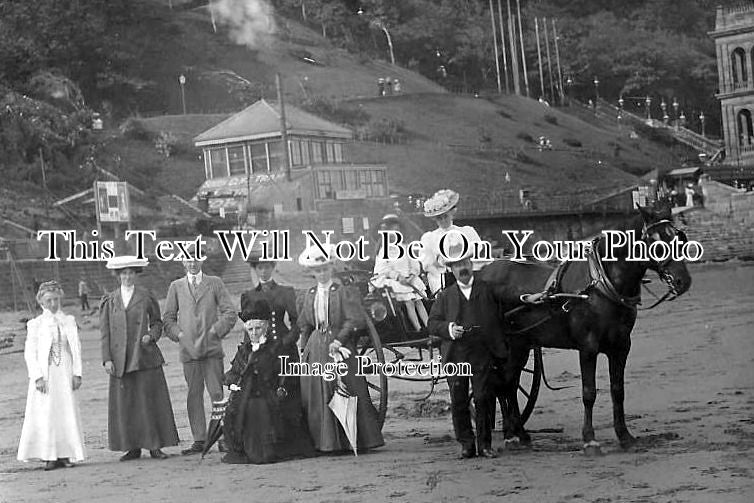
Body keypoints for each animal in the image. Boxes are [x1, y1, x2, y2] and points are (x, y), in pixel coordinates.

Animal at [482, 205, 688, 456]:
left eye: (679, 237)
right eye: (657, 242)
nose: (683, 280)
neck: (600, 286)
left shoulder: (621, 347)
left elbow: (618, 391)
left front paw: (624, 436)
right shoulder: (588, 347)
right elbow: (589, 392)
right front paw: (590, 440)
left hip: (520, 345)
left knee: (508, 384)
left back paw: (518, 434)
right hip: (506, 346)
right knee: (500, 383)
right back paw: (509, 434)